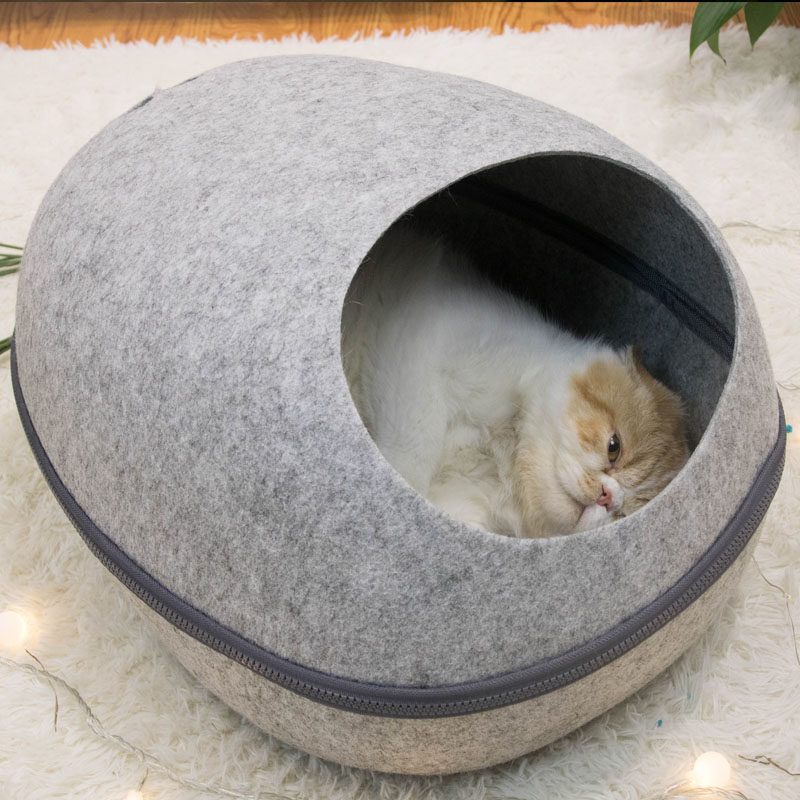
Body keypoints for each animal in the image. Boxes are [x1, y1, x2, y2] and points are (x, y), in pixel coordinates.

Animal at [341, 223, 689, 538]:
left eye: (624, 513)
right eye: (613, 448)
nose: (608, 498)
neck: (503, 454)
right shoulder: (418, 356)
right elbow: (413, 457)